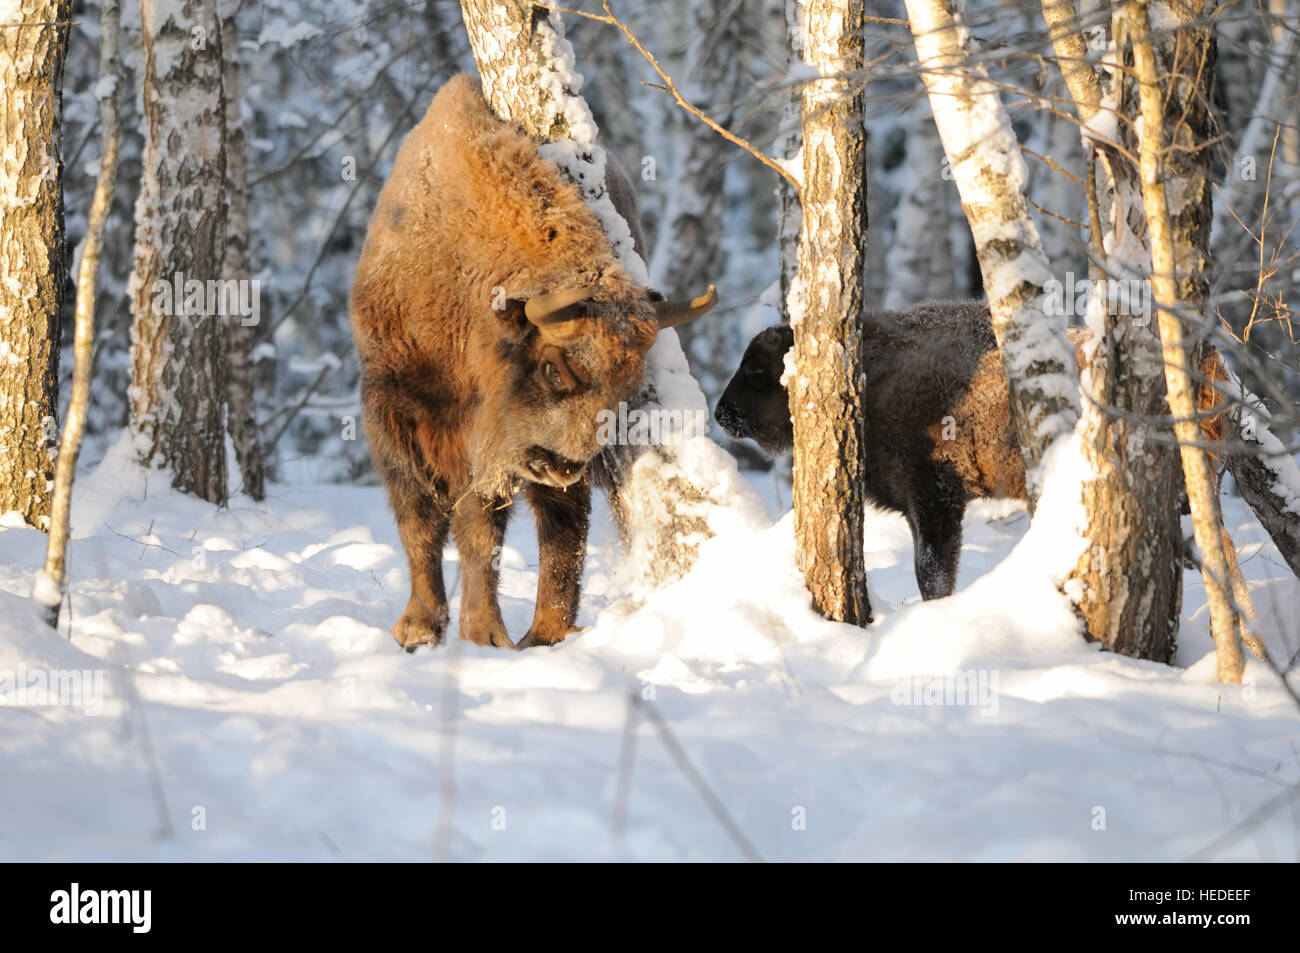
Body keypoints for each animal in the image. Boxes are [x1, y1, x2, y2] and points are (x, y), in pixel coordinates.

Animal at [351, 78, 717, 650]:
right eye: (551, 369)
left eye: (624, 388)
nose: (562, 464)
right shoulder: (390, 407)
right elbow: (419, 519)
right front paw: (419, 629)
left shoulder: (494, 453)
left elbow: (486, 532)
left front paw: (484, 636)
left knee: (564, 527)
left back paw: (545, 635)